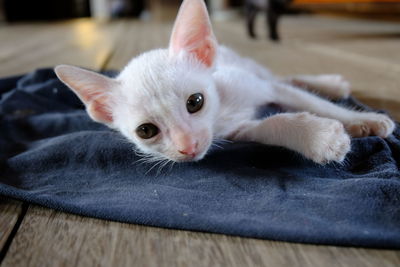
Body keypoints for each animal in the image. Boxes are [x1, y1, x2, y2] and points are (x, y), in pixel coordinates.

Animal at [54, 0, 396, 165]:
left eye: (195, 102)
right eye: (146, 131)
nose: (188, 147)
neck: (222, 113)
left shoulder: (261, 88)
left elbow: (309, 101)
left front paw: (363, 119)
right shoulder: (239, 132)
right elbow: (272, 124)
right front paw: (319, 137)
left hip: (252, 69)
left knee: (283, 79)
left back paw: (331, 85)